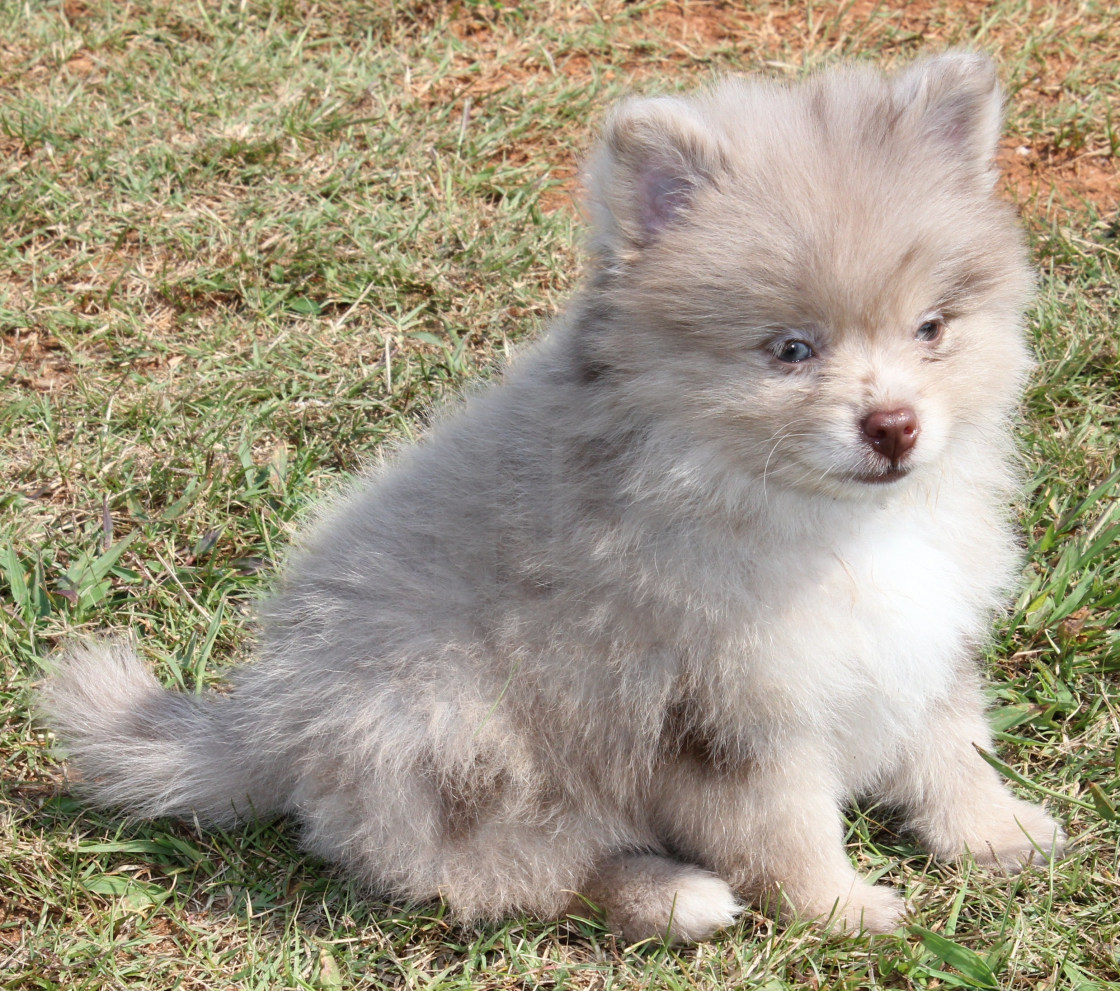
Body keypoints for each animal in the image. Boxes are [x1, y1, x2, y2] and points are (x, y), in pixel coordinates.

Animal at [37, 52, 1066, 945]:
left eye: (931, 327)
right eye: (791, 350)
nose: (894, 426)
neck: (816, 516)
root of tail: (269, 722)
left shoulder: (920, 637)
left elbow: (950, 746)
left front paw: (998, 831)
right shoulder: (720, 711)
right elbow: (784, 829)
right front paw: (843, 909)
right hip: (444, 723)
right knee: (505, 869)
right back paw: (670, 895)